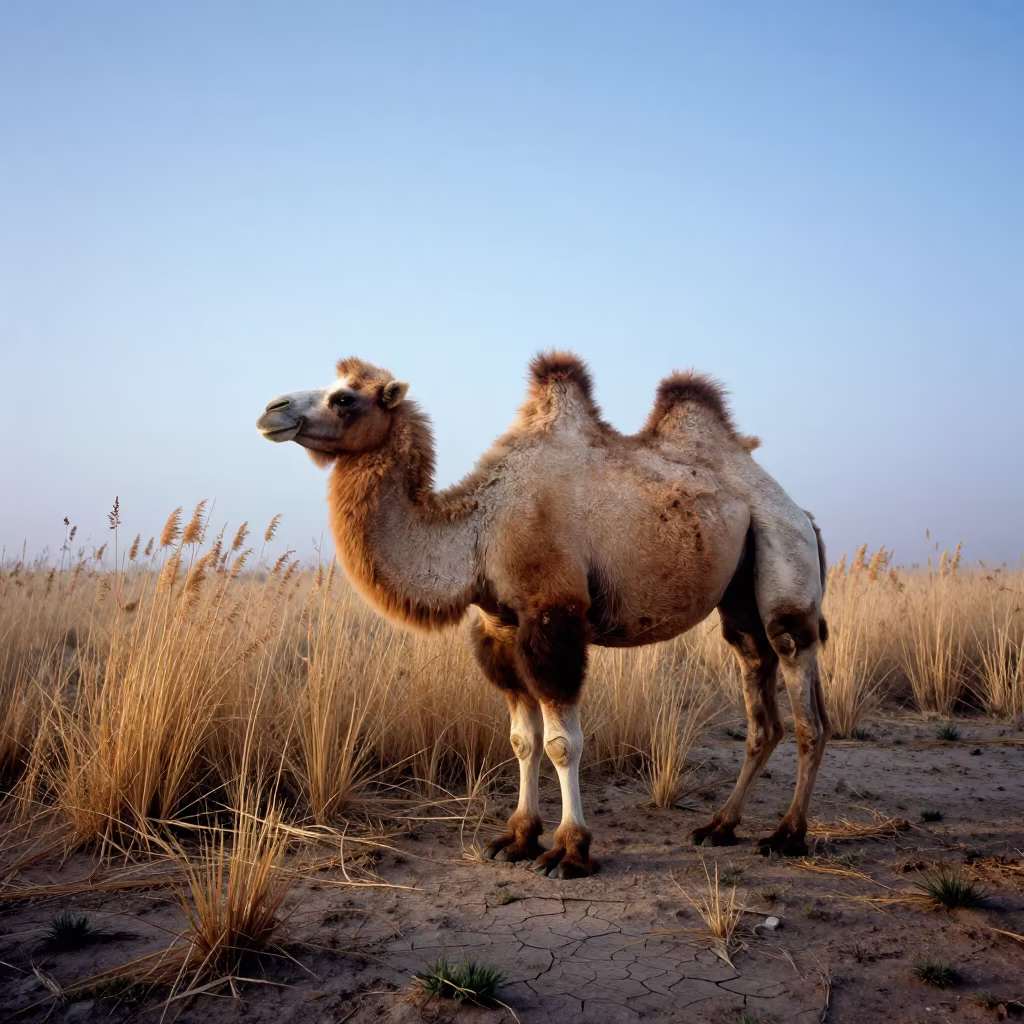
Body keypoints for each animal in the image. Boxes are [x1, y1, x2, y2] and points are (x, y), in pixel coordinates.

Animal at [257, 352, 830, 879]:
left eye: (344, 397)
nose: (270, 410)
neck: (477, 534)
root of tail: (803, 512)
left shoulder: (555, 619)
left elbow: (561, 744)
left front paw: (570, 850)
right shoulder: (502, 629)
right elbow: (521, 740)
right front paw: (517, 837)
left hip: (786, 564)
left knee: (803, 697)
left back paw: (787, 836)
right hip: (739, 597)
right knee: (761, 706)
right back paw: (719, 827)